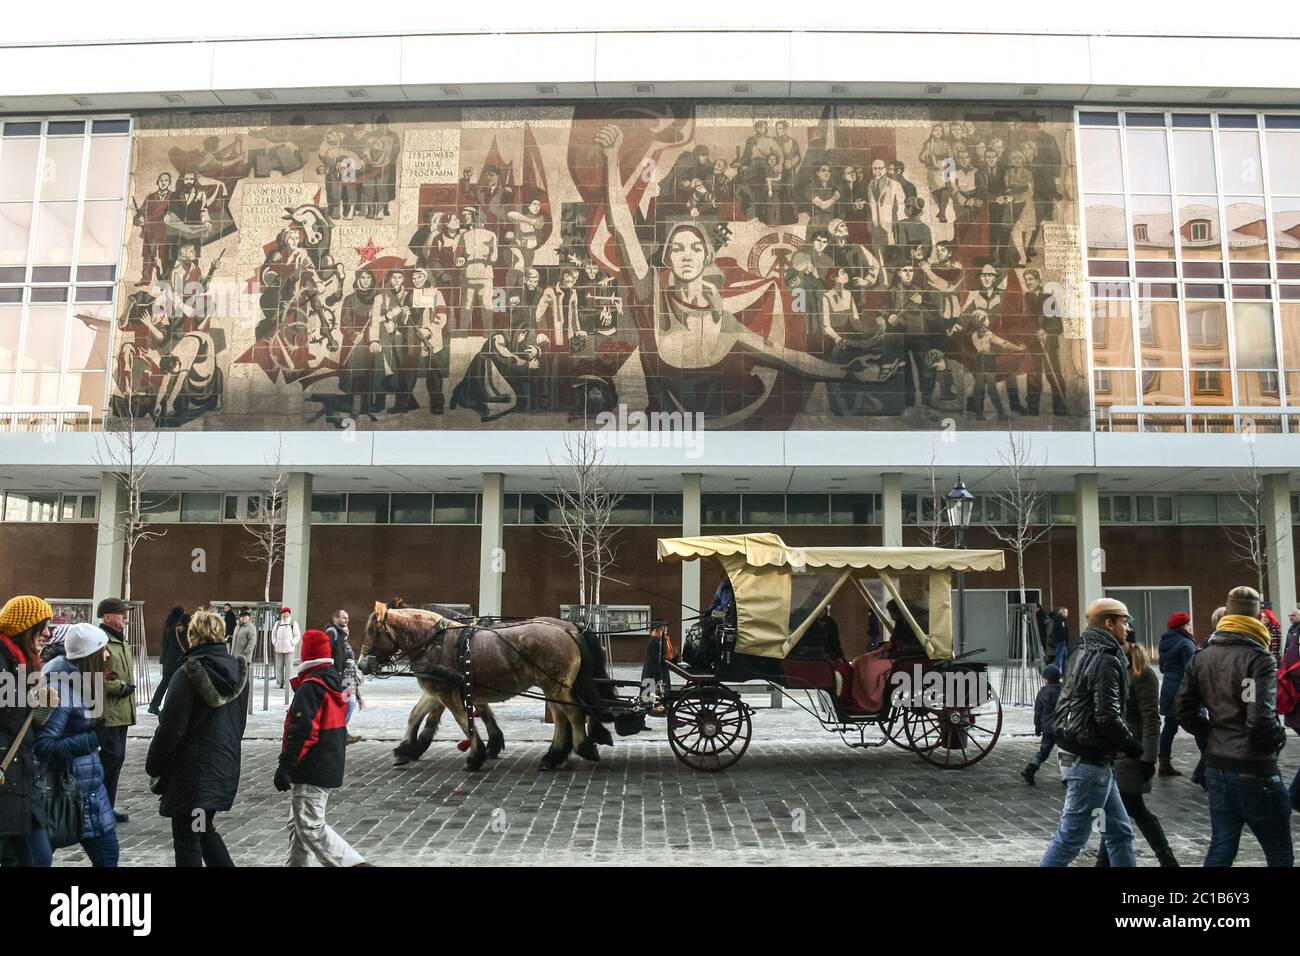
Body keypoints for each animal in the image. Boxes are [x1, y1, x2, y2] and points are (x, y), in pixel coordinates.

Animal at [361, 600, 613, 775]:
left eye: (373, 632)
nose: (363, 664)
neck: (435, 641)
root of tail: (570, 630)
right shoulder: (440, 689)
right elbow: (418, 714)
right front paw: (406, 749)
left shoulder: (445, 690)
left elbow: (463, 720)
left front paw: (475, 756)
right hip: (552, 686)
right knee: (563, 717)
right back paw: (554, 756)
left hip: (555, 685)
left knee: (573, 713)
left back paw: (580, 748)